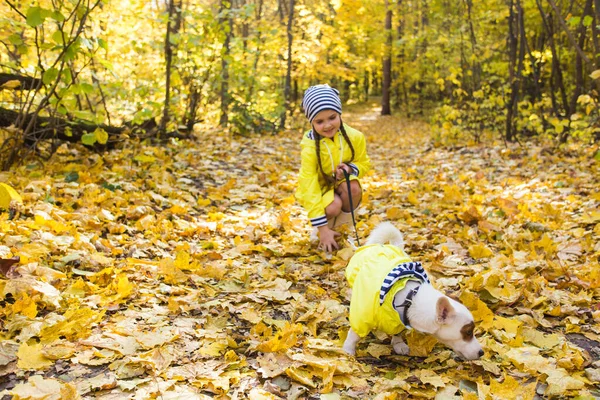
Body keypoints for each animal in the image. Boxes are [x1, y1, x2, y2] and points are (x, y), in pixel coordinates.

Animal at [342, 220, 482, 360]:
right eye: (468, 332)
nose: (481, 352)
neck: (410, 298)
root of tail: (382, 246)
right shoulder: (361, 319)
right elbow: (354, 335)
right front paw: (348, 351)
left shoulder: (399, 319)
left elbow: (397, 332)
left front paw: (398, 343)